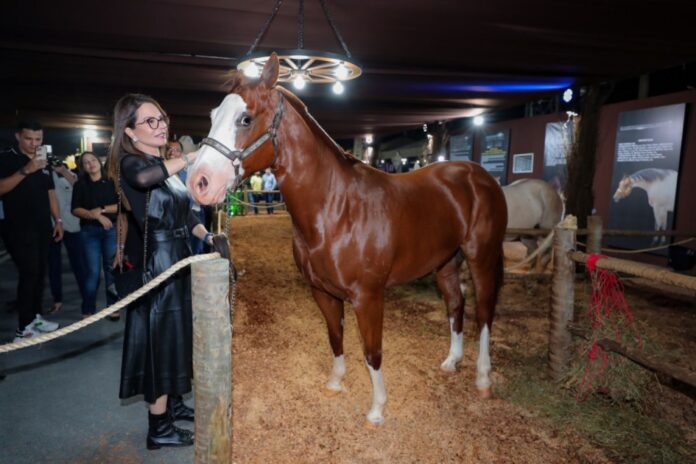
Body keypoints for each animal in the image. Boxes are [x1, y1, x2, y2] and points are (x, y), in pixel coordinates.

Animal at [188, 55, 508, 428]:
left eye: (245, 118)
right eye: (214, 115)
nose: (199, 182)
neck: (336, 208)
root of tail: (481, 176)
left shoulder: (368, 297)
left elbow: (372, 351)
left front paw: (377, 409)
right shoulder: (322, 292)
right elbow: (335, 337)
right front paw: (335, 383)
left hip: (481, 257)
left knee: (484, 314)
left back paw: (483, 379)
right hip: (445, 262)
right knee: (456, 305)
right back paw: (451, 361)